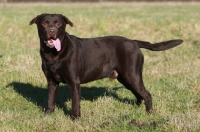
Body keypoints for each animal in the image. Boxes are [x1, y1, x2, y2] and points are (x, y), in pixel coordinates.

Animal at [29, 13, 183, 119]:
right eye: (44, 24)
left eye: (58, 24)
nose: (52, 31)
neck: (53, 54)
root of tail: (133, 42)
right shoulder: (52, 82)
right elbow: (50, 101)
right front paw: (47, 116)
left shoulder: (74, 82)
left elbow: (75, 103)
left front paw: (75, 119)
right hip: (125, 78)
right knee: (139, 94)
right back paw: (136, 109)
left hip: (132, 75)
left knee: (147, 94)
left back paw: (149, 114)